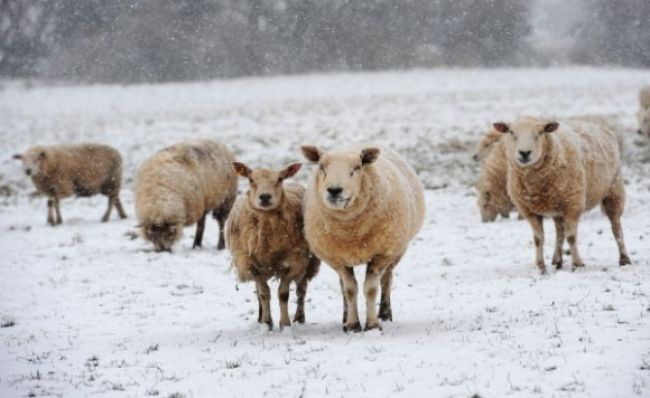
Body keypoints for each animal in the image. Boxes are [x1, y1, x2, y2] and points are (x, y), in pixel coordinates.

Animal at [224, 161, 320, 330]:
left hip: (307, 263)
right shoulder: (251, 264)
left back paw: (299, 317)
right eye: (251, 180)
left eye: (280, 179)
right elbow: (264, 293)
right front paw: (267, 322)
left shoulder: (291, 262)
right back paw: (260, 317)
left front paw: (285, 324)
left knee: (301, 290)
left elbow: (283, 294)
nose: (265, 197)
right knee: (259, 293)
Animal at [300, 145, 426, 332]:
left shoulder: (381, 254)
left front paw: (372, 324)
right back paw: (345, 317)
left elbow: (371, 289)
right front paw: (352, 325)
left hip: (396, 250)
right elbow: (349, 289)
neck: (350, 233)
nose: (334, 190)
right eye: (322, 167)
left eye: (357, 167)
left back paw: (385, 313)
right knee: (343, 286)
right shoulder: (338, 259)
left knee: (387, 280)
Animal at [492, 115, 628, 274]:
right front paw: (541, 266)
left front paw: (577, 264)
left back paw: (624, 259)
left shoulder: (573, 204)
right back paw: (557, 260)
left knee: (616, 227)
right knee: (559, 232)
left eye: (540, 132)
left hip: (614, 190)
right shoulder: (529, 211)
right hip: (557, 205)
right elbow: (538, 239)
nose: (524, 153)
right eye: (511, 132)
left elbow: (571, 237)